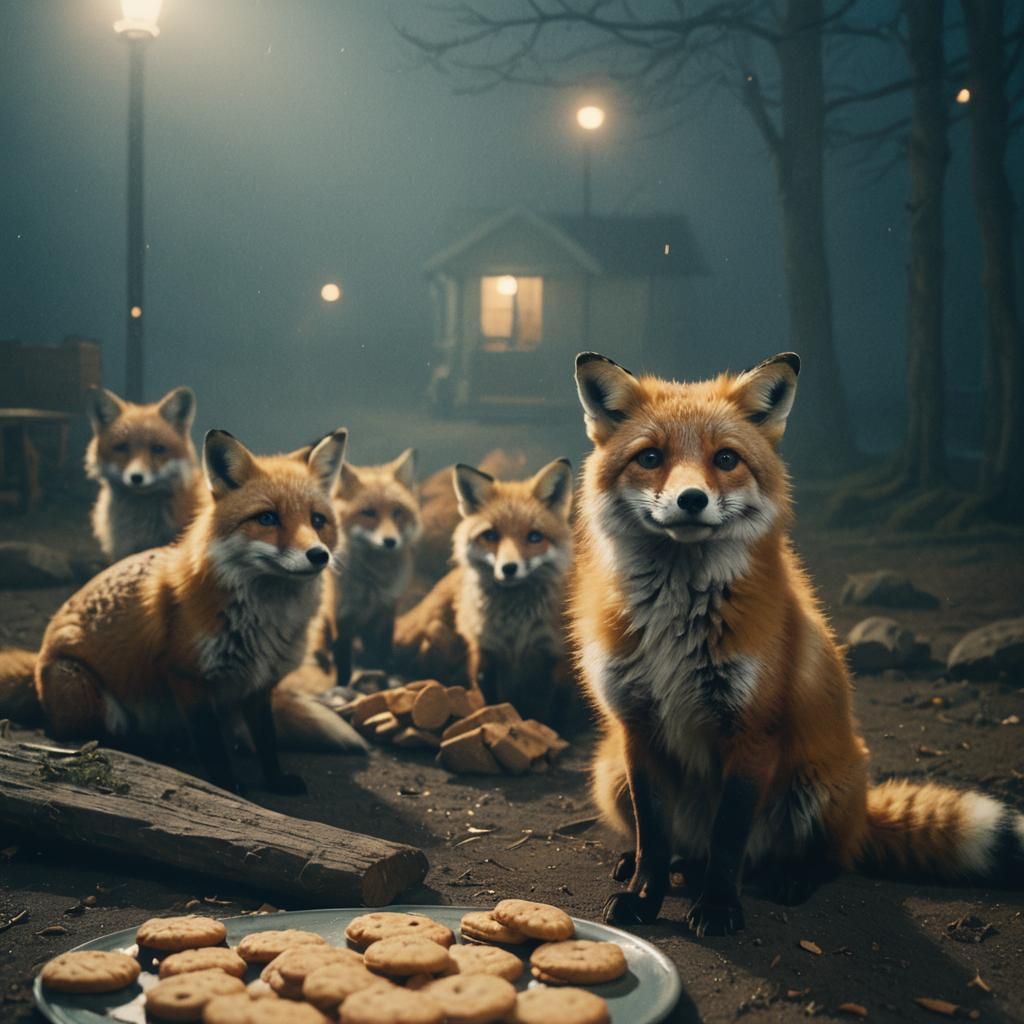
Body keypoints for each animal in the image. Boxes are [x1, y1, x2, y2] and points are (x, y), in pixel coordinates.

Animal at [0, 427, 347, 794]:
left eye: (318, 520)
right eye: (267, 518)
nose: (318, 555)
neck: (264, 620)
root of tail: (38, 660)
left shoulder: (260, 682)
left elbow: (267, 738)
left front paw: (275, 780)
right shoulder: (187, 675)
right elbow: (211, 744)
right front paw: (227, 784)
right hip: (89, 697)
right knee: (85, 735)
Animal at [329, 449, 422, 682]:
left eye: (397, 512)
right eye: (368, 513)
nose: (390, 541)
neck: (372, 584)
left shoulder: (386, 611)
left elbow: (384, 653)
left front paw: (388, 677)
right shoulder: (341, 618)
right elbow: (343, 662)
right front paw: (342, 686)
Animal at [395, 459, 576, 728]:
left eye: (534, 537)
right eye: (491, 535)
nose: (509, 568)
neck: (515, 630)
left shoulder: (555, 655)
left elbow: (552, 710)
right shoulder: (484, 651)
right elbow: (492, 700)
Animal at [570, 351, 1024, 936]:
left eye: (725, 458)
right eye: (650, 457)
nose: (691, 500)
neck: (676, 626)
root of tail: (863, 806)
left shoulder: (753, 730)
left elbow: (728, 841)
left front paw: (718, 908)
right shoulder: (637, 730)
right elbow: (653, 838)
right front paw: (644, 898)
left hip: (813, 788)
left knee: (826, 859)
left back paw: (789, 878)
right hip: (610, 775)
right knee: (681, 848)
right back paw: (667, 866)